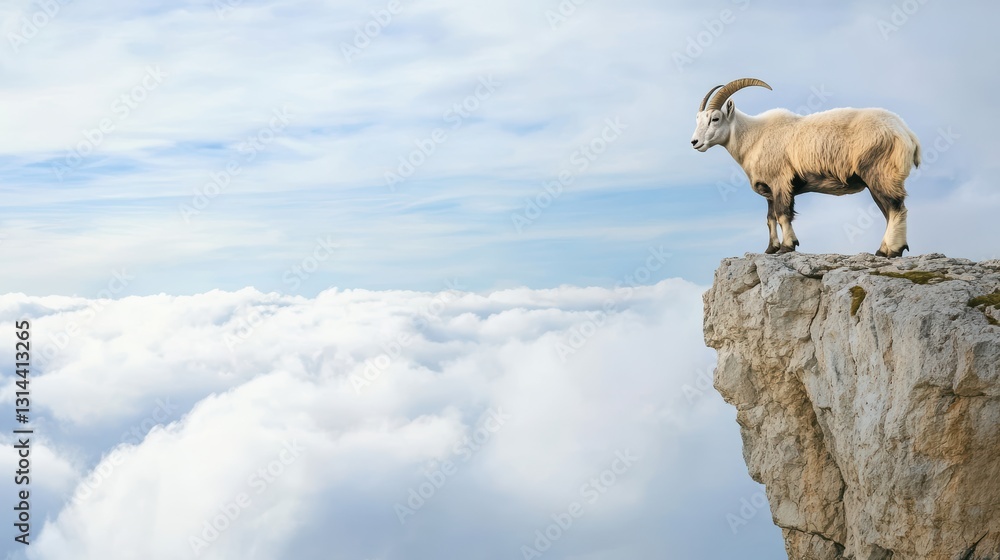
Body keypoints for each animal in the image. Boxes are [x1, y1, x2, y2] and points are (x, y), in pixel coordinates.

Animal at [690, 78, 921, 257]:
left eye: (715, 118)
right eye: (698, 119)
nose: (695, 142)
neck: (755, 137)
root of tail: (906, 132)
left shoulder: (781, 181)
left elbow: (783, 214)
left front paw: (787, 246)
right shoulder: (769, 189)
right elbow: (770, 218)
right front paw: (770, 249)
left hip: (880, 172)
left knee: (896, 207)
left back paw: (892, 250)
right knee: (888, 211)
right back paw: (884, 250)